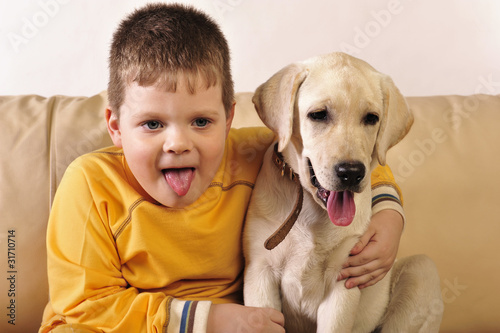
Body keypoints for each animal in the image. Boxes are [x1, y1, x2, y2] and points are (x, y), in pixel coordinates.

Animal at [244, 53, 444, 330]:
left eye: (371, 118)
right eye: (318, 114)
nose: (351, 172)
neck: (309, 210)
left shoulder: (344, 281)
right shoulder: (259, 273)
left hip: (421, 271)